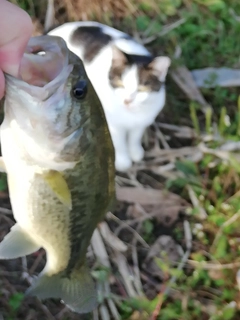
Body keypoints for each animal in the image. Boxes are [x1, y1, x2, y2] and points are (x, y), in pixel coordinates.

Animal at [47, 21, 170, 172]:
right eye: (121, 85)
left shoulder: (142, 122)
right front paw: (123, 161)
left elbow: (135, 137)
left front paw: (135, 152)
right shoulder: (112, 124)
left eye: (141, 90)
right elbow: (119, 142)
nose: (127, 101)